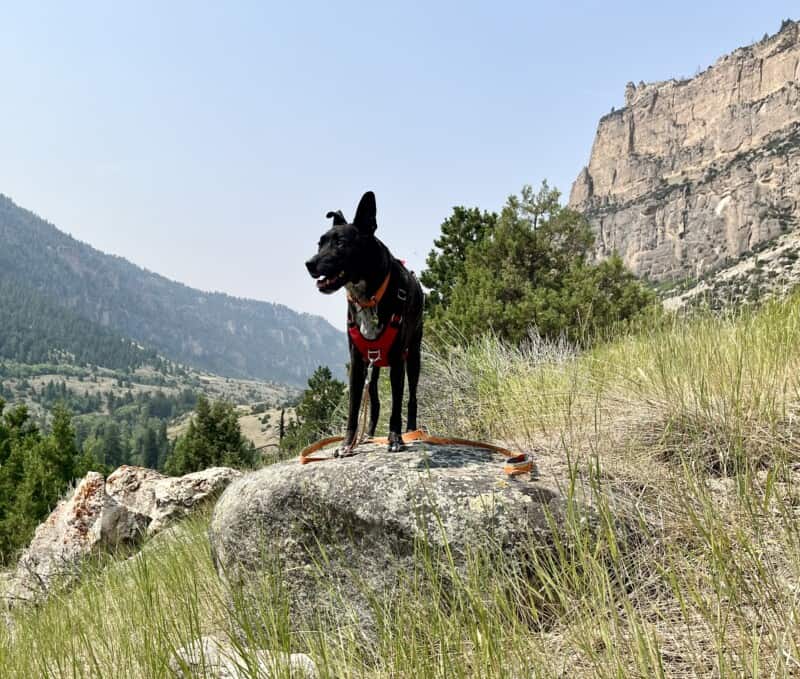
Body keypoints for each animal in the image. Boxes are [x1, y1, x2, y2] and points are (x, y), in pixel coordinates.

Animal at [304, 191, 424, 454]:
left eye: (340, 243)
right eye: (320, 243)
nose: (309, 263)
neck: (369, 297)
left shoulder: (398, 361)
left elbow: (396, 406)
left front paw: (395, 438)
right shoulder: (358, 363)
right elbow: (353, 408)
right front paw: (347, 444)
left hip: (413, 356)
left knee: (411, 398)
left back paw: (411, 431)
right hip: (374, 366)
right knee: (376, 401)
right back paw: (367, 435)